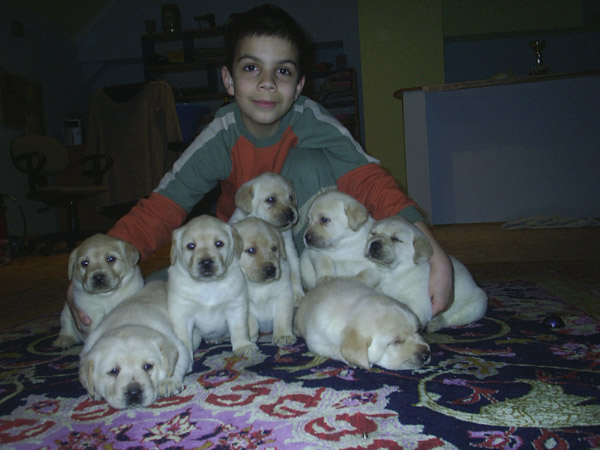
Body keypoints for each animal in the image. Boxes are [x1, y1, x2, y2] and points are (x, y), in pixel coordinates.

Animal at [78, 282, 190, 412]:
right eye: (114, 371)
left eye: (148, 366)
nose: (134, 392)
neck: (127, 322)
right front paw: (94, 391)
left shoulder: (178, 344)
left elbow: (178, 363)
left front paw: (168, 381)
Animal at [168, 215, 256, 362]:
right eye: (191, 246)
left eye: (219, 243)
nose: (206, 262)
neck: (208, 285)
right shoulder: (182, 314)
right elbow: (183, 339)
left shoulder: (235, 307)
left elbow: (239, 328)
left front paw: (243, 345)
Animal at [230, 171, 304, 302]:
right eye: (271, 200)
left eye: (291, 198)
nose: (291, 213)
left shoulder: (290, 250)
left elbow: (295, 272)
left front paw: (298, 294)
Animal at [233, 218, 296, 348]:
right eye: (251, 250)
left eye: (274, 248)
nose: (271, 269)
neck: (258, 286)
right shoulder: (242, 300)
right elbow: (249, 318)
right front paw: (250, 335)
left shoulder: (283, 295)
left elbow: (282, 317)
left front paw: (283, 335)